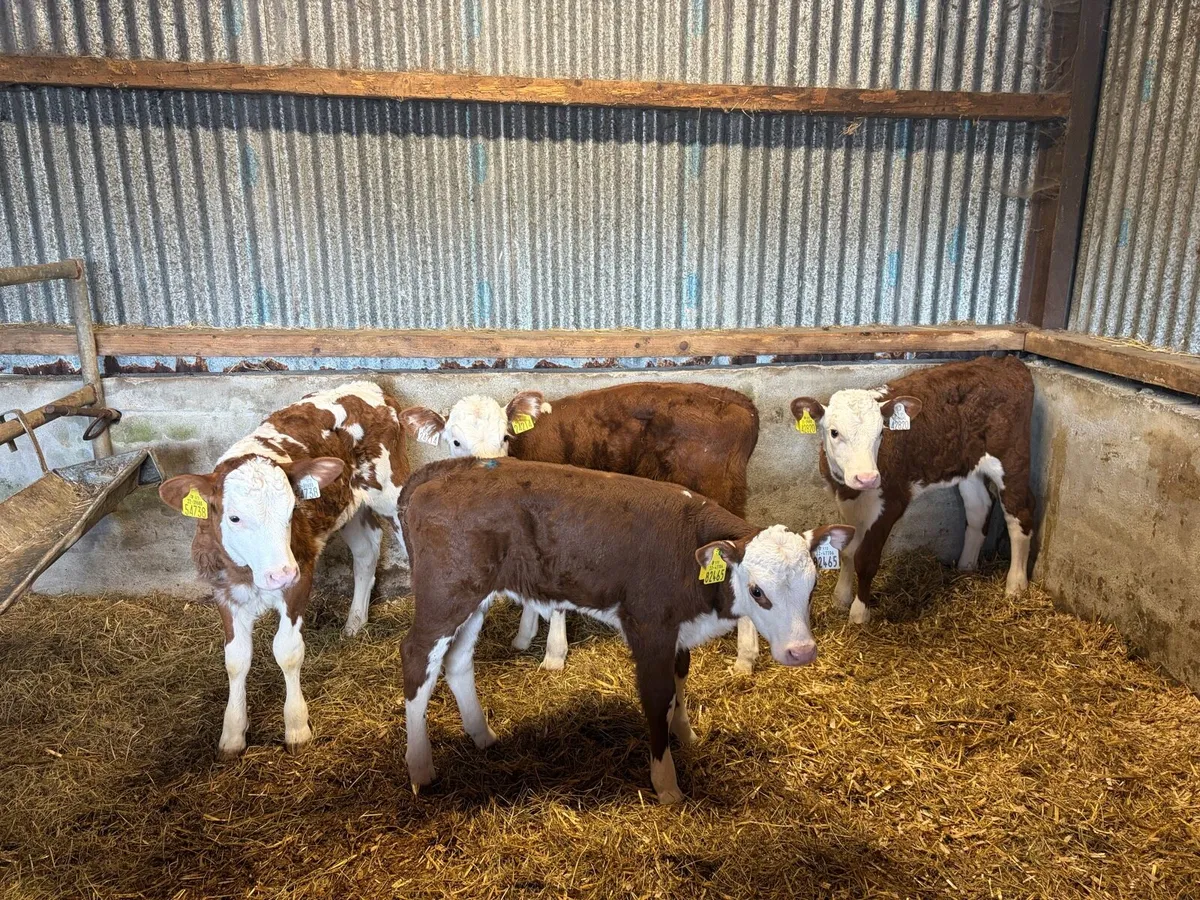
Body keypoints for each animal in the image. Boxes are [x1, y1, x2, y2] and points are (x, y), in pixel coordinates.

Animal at [157, 382, 409, 758]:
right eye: (234, 517)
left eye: (292, 510)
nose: (280, 574)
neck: (250, 573)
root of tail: (368, 386)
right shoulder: (223, 589)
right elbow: (236, 658)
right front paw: (232, 734)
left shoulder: (300, 574)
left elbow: (287, 651)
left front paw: (296, 727)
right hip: (346, 506)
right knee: (366, 551)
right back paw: (355, 621)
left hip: (393, 491)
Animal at [397, 456, 853, 804]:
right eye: (758, 591)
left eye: (813, 585)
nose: (802, 651)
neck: (689, 553)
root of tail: (449, 468)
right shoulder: (649, 627)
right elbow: (658, 697)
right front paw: (667, 784)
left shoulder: (678, 630)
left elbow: (681, 680)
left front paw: (685, 733)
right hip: (444, 593)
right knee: (417, 658)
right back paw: (420, 769)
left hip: (474, 596)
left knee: (456, 661)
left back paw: (483, 735)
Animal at [399, 382, 764, 672]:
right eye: (456, 442)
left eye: (504, 436)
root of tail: (738, 401)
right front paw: (524, 635)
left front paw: (553, 655)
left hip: (721, 494)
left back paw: (744, 658)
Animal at [789, 355, 1034, 625]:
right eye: (834, 432)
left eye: (881, 433)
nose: (867, 478)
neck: (851, 491)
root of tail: (1006, 361)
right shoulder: (843, 499)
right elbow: (847, 551)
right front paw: (840, 598)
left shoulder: (890, 502)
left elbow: (866, 559)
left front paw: (859, 613)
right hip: (968, 465)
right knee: (979, 507)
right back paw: (966, 566)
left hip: (1011, 458)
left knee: (1019, 514)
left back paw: (1016, 585)